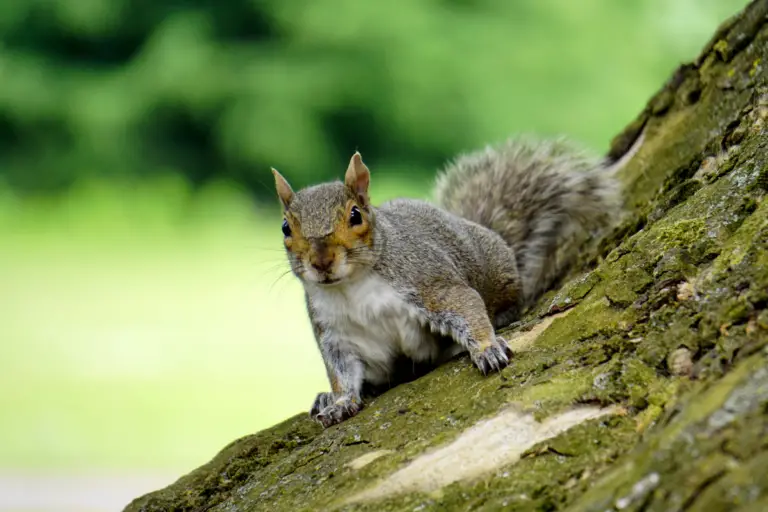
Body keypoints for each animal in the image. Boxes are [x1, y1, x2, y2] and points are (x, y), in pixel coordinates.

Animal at [271, 133, 640, 428]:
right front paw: (340, 401)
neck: (352, 287)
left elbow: (465, 305)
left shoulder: (427, 281)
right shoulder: (336, 333)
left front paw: (488, 349)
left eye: (355, 215)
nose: (321, 262)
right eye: (286, 228)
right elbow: (342, 373)